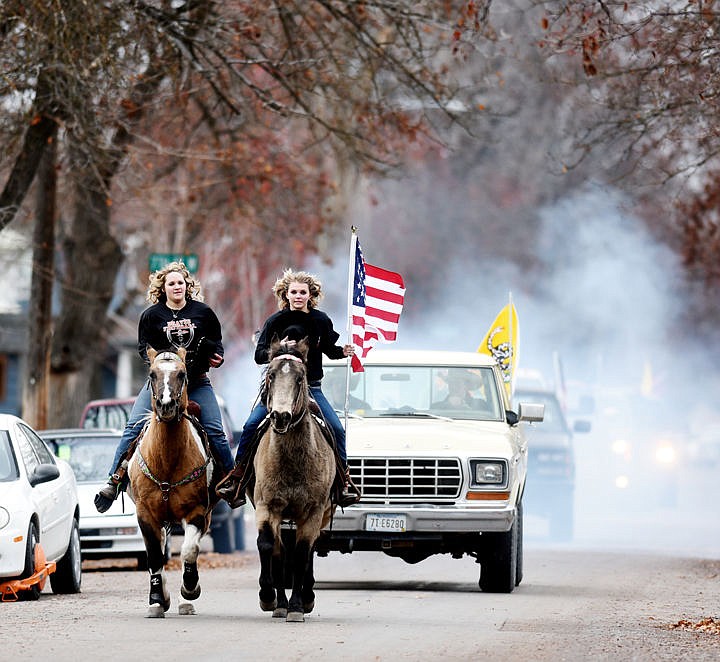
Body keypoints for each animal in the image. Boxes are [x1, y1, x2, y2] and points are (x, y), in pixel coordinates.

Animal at [128, 350, 217, 620]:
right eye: (152, 374)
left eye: (182, 373)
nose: (166, 405)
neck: (166, 461)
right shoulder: (146, 514)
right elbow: (155, 556)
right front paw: (157, 600)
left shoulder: (196, 512)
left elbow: (189, 550)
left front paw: (189, 590)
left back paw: (185, 602)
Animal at [252, 340, 336, 624]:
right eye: (271, 375)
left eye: (300, 378)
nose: (281, 416)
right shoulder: (267, 506)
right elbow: (269, 547)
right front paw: (269, 597)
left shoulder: (313, 511)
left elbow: (301, 554)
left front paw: (298, 606)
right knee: (279, 550)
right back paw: (280, 602)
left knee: (309, 550)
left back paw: (306, 596)